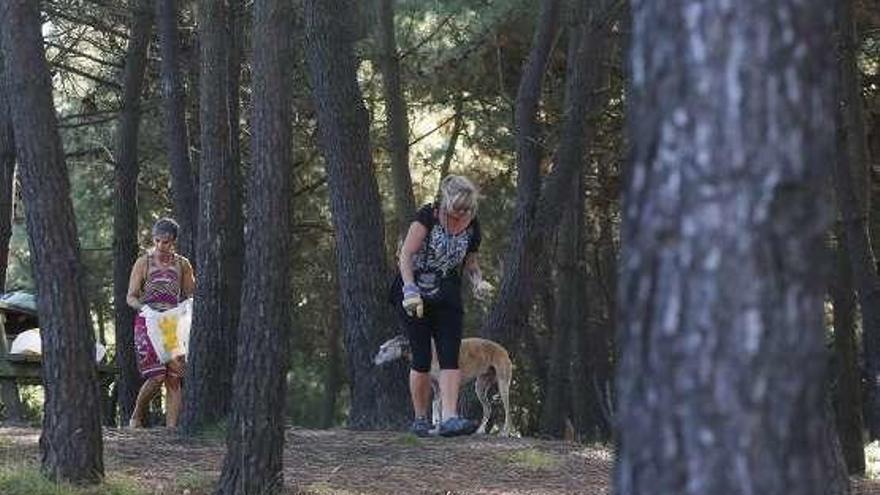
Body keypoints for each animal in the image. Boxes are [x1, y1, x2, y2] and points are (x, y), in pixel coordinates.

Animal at [374, 336, 512, 436]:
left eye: (385, 349)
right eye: (381, 348)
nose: (374, 360)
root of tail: (503, 349)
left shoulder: (441, 388)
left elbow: (439, 410)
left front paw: (438, 429)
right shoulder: (435, 389)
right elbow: (434, 408)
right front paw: (435, 429)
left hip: (503, 384)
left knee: (507, 409)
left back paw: (505, 432)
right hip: (480, 386)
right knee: (488, 408)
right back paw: (480, 431)